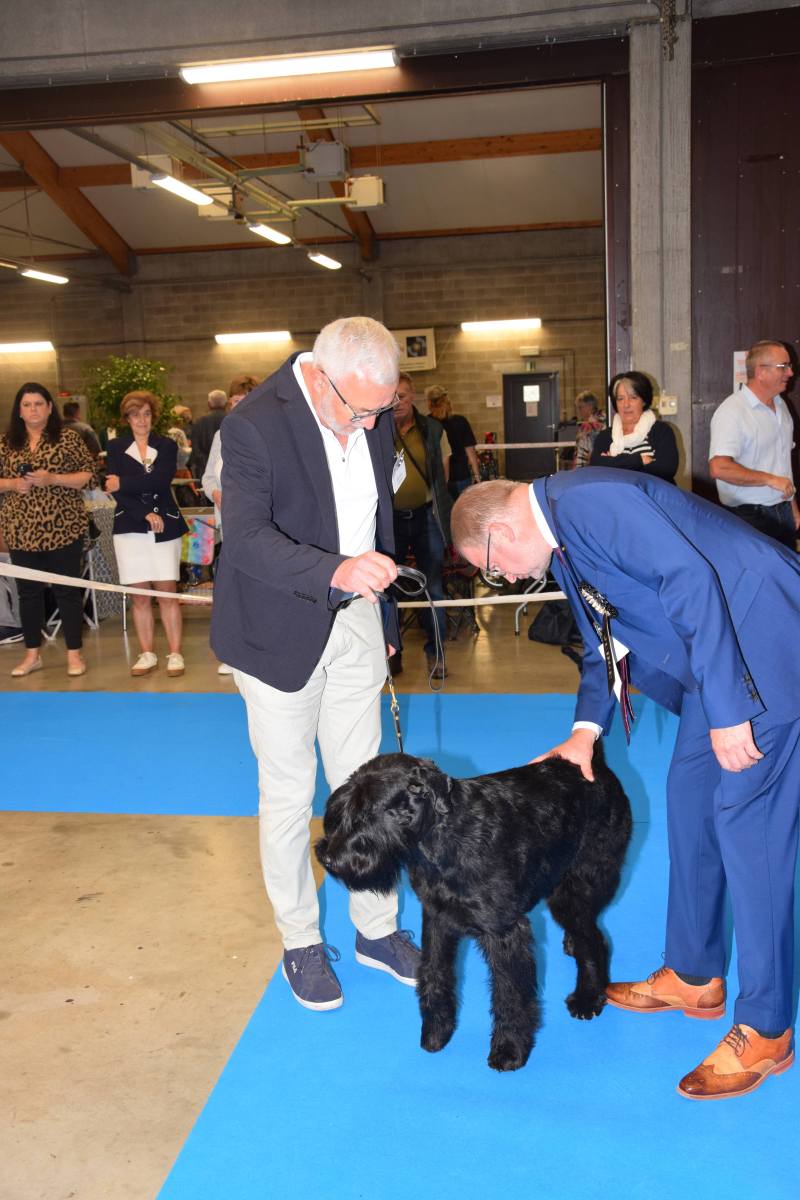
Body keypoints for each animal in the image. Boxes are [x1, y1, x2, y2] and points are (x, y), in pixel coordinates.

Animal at [316, 746, 632, 1072]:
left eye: (367, 812)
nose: (327, 856)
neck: (442, 838)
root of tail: (596, 764)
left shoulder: (504, 931)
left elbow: (509, 992)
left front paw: (509, 1049)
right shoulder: (437, 919)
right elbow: (435, 974)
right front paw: (436, 1032)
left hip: (575, 889)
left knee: (593, 939)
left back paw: (587, 997)